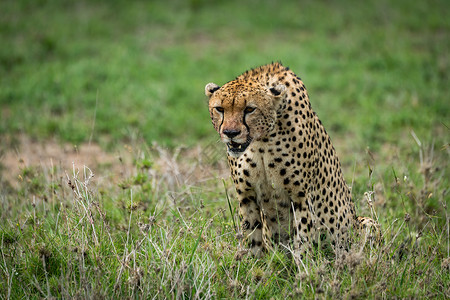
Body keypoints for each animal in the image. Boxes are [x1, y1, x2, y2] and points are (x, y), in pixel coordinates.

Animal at [206, 61, 378, 258]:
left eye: (249, 109)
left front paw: (304, 265)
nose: (230, 133)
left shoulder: (300, 197)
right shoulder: (246, 195)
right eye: (220, 109)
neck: (262, 140)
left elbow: (302, 240)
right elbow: (252, 237)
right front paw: (252, 263)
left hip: (365, 223)